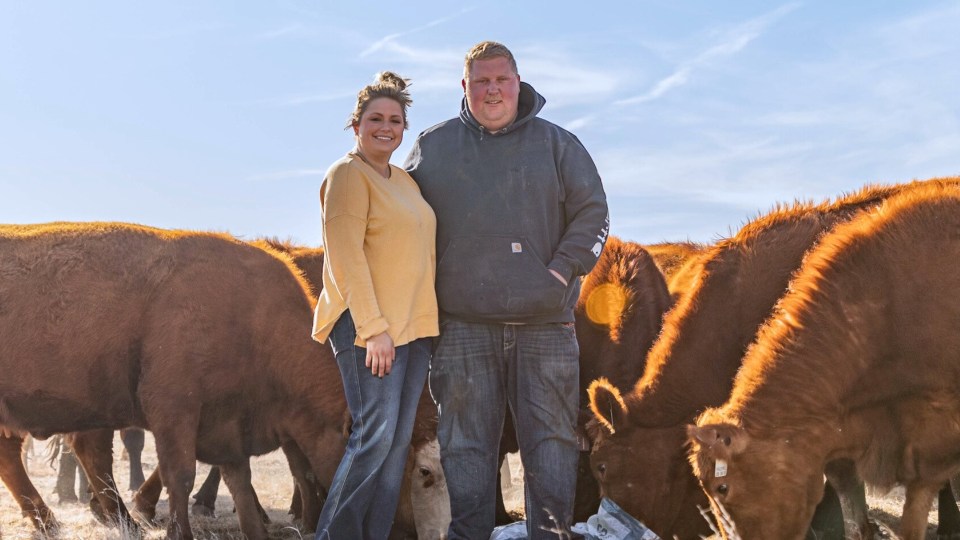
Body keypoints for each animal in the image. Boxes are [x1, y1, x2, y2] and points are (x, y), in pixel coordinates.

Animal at [0, 221, 348, 536]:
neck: (251, 320)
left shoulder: (230, 424)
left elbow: (241, 482)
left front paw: (256, 529)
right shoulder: (174, 411)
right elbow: (181, 475)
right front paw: (176, 528)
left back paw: (66, 521)